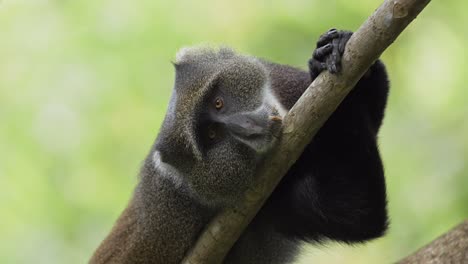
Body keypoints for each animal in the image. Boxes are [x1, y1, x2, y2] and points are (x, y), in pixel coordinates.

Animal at [90, 28, 388, 264]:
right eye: (212, 135)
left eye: (218, 103)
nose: (246, 125)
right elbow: (358, 213)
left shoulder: (286, 82)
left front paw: (331, 54)